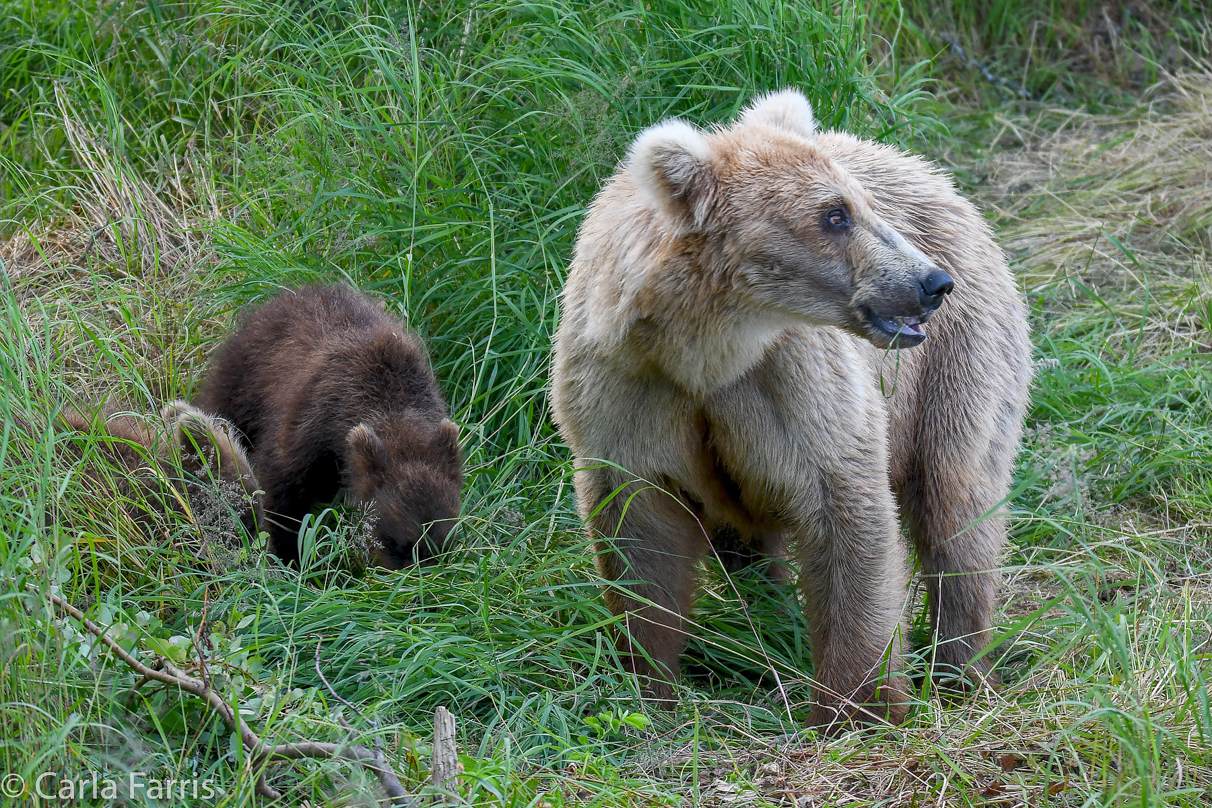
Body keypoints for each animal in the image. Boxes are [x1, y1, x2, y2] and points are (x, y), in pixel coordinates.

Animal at [550, 90, 1032, 731]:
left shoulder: (793, 381)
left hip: (959, 365)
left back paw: (961, 670)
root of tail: (938, 178)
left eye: (858, 203)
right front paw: (651, 682)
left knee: (957, 502)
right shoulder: (627, 392)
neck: (705, 353)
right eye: (834, 215)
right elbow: (640, 539)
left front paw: (856, 705)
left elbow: (846, 508)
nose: (930, 282)